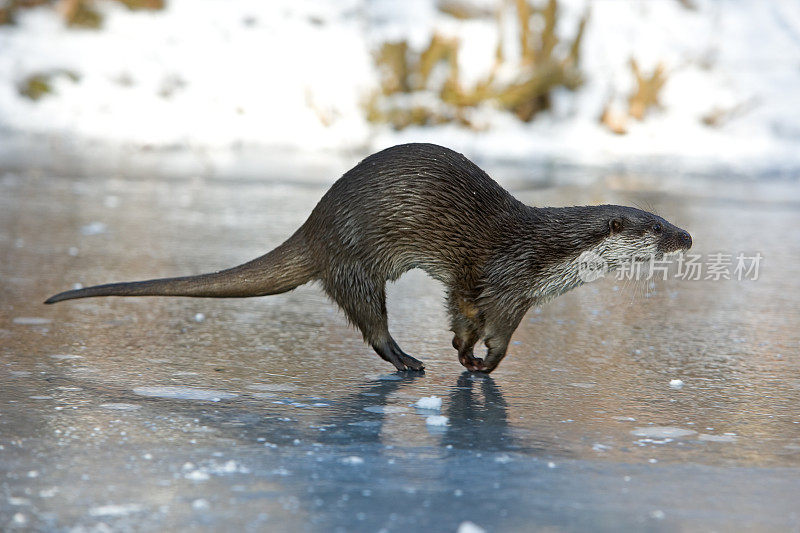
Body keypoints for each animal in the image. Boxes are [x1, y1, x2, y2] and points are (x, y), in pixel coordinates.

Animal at [45, 143, 692, 372]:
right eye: (656, 227)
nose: (686, 236)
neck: (546, 252)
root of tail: (314, 226)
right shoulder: (511, 283)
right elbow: (497, 332)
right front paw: (482, 364)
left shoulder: (481, 287)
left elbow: (462, 314)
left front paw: (463, 353)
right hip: (357, 263)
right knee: (371, 324)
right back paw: (406, 361)